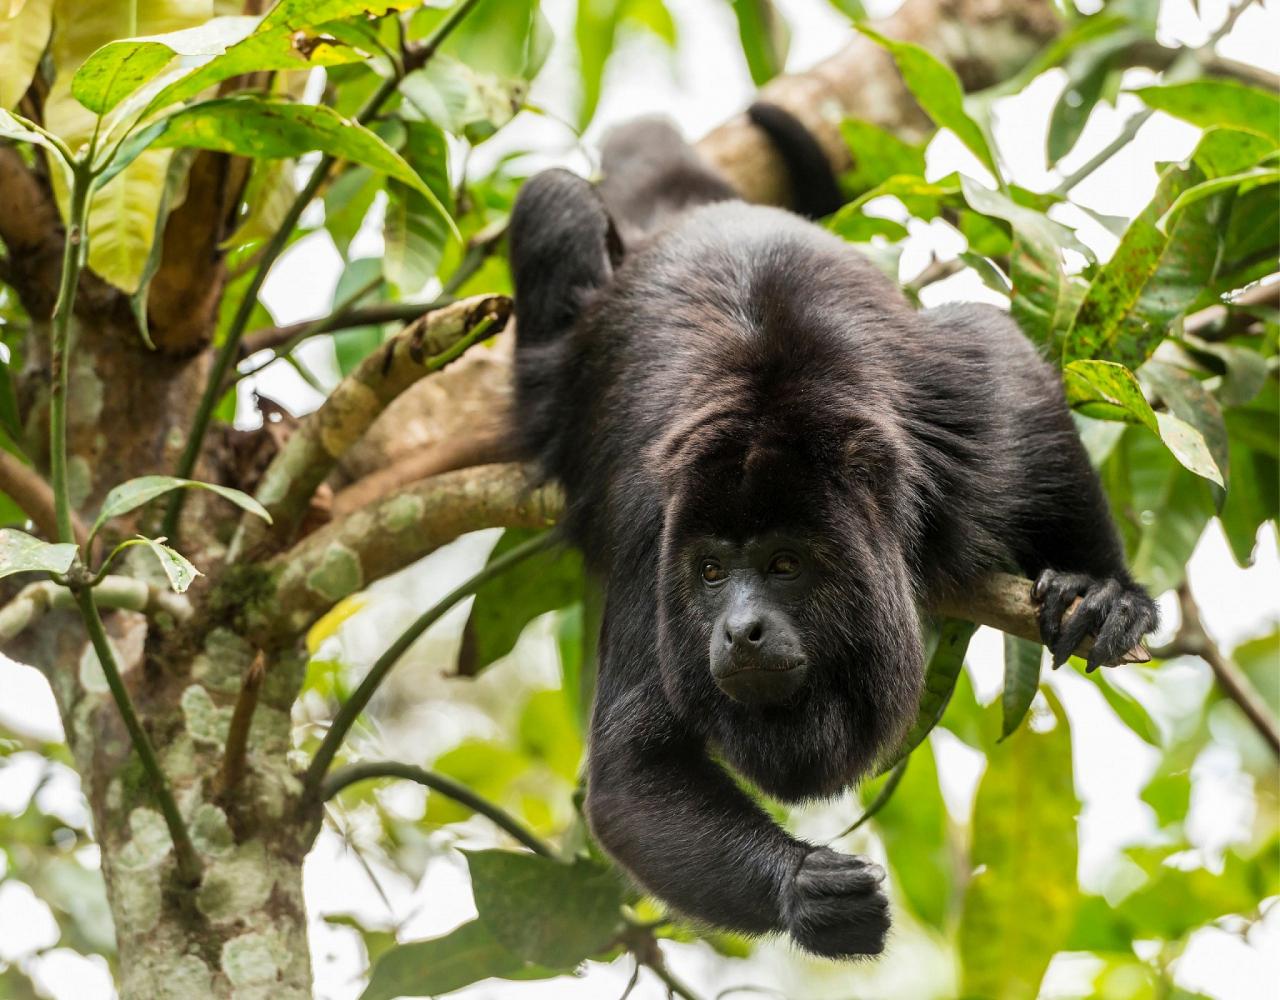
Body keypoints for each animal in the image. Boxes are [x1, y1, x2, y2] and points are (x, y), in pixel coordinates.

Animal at [504, 109, 1157, 957]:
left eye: (785, 564)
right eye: (711, 572)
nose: (741, 630)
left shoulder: (956, 420)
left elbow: (1002, 358)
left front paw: (1101, 584)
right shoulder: (653, 528)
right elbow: (629, 770)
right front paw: (801, 888)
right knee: (556, 198)